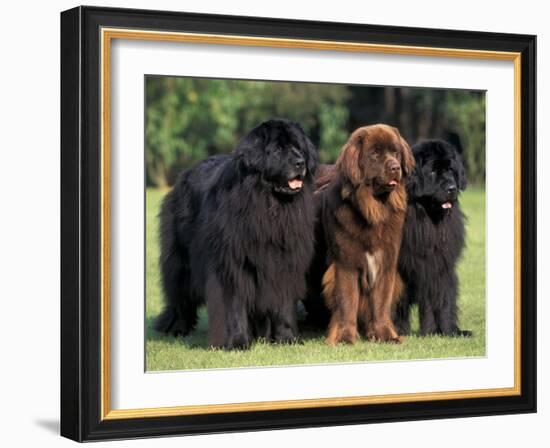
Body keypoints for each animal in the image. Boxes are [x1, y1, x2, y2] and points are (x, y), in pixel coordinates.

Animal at [155, 119, 320, 350]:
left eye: (299, 148)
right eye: (278, 149)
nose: (300, 163)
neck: (270, 205)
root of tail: (185, 174)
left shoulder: (285, 262)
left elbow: (284, 303)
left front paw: (287, 338)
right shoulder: (231, 264)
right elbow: (234, 304)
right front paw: (237, 341)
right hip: (181, 261)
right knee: (179, 294)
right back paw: (176, 327)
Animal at [316, 124, 416, 344]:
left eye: (395, 152)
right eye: (375, 153)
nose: (395, 167)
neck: (373, 211)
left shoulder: (386, 262)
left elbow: (381, 303)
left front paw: (385, 335)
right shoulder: (346, 263)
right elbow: (347, 301)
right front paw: (345, 337)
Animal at [396, 140, 474, 336]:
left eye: (451, 170)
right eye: (432, 171)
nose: (451, 188)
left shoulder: (439, 264)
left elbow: (443, 298)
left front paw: (446, 331)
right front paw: (395, 330)